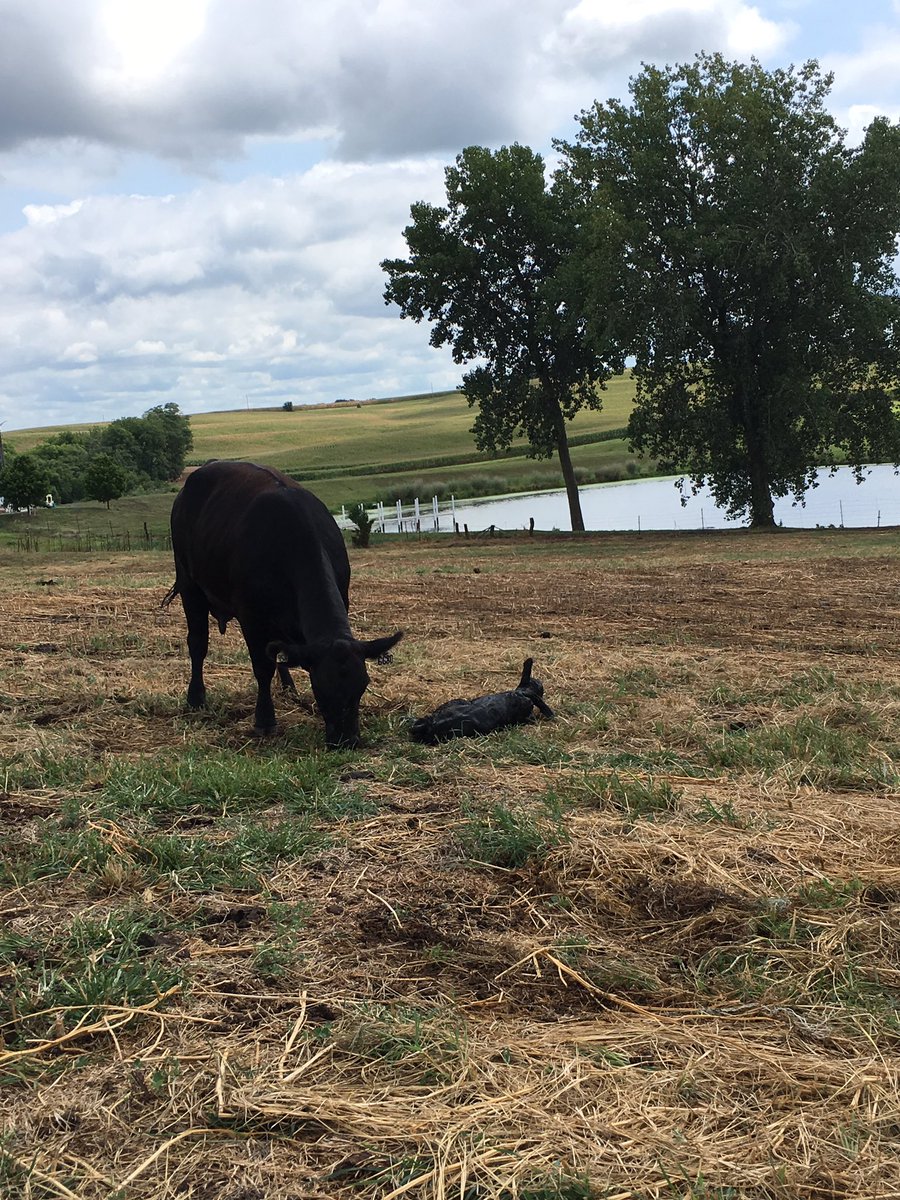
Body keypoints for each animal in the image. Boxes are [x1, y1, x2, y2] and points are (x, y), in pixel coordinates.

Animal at [165, 460, 402, 749]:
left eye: (362, 686)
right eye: (320, 687)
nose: (347, 740)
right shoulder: (251, 617)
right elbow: (262, 666)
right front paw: (265, 720)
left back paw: (289, 688)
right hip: (189, 584)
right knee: (198, 643)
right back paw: (196, 698)